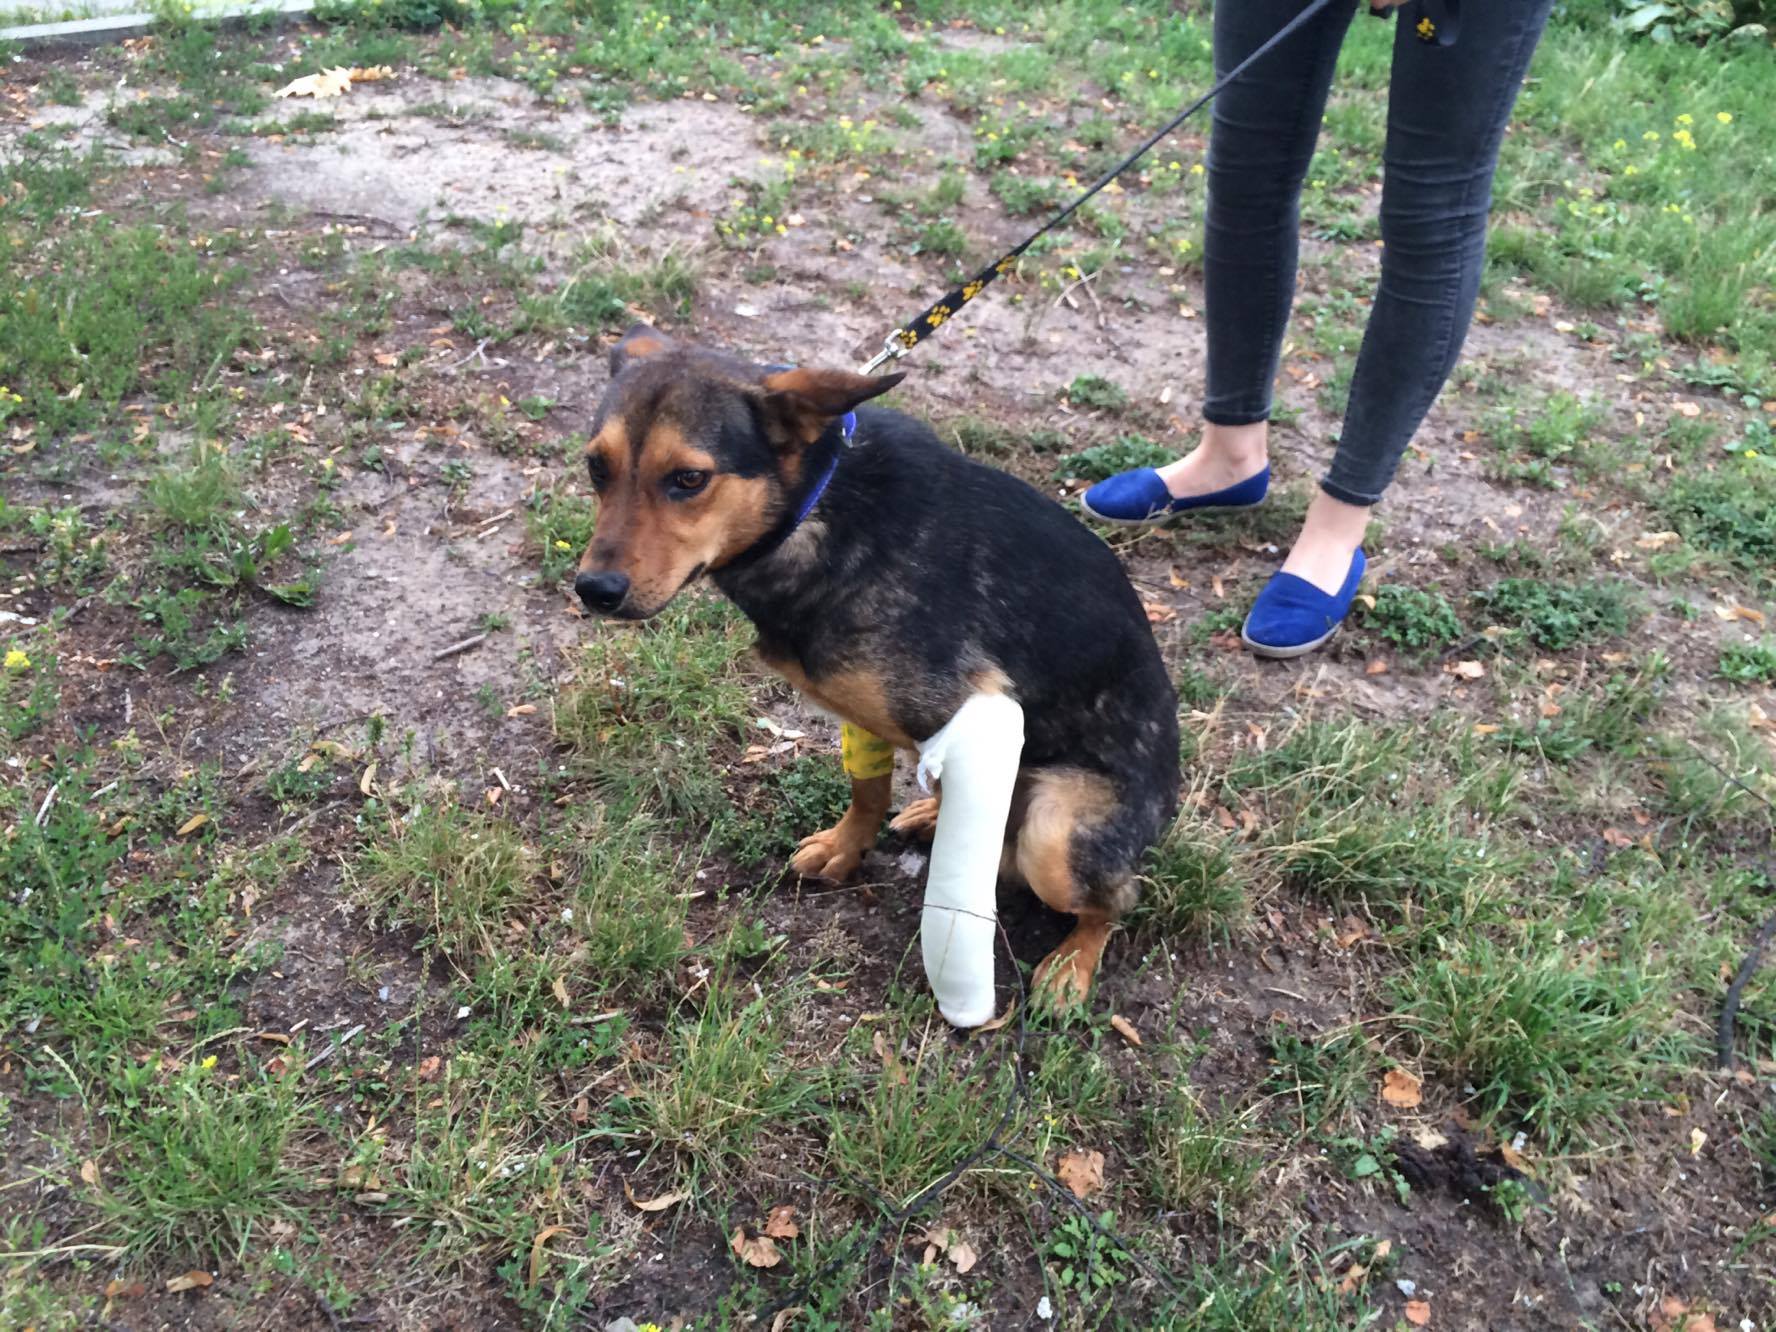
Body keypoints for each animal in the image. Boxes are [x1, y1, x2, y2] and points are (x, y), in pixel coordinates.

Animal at [573, 325, 1180, 1004]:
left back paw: (1073, 962)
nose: (593, 590)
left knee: (1116, 897)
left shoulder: (977, 715)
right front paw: (846, 848)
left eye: (687, 478)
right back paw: (929, 813)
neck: (816, 505)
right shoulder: (860, 710)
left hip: (1057, 836)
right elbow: (867, 790)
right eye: (596, 467)